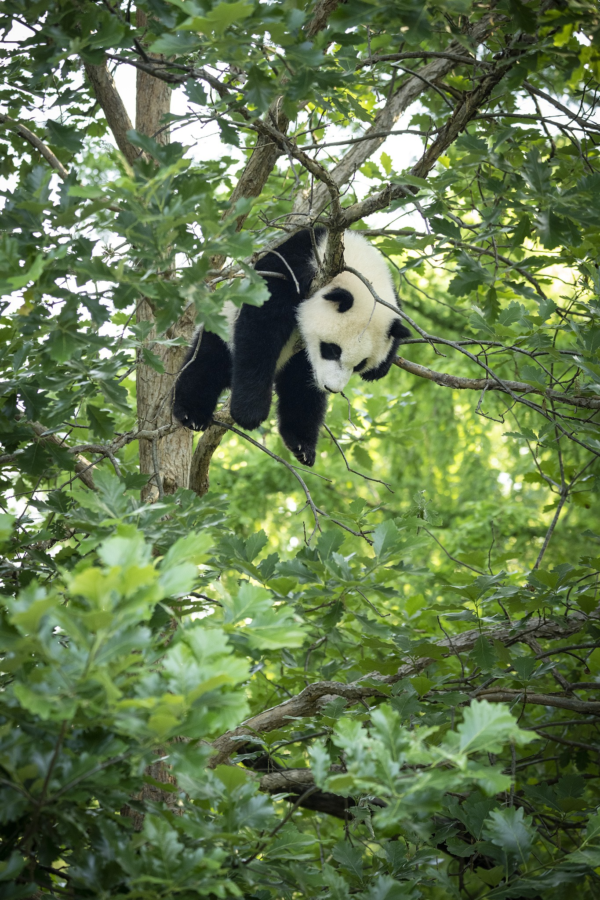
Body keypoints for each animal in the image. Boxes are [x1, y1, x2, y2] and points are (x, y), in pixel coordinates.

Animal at [171, 229, 410, 468]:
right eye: (332, 350)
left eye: (360, 364)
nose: (331, 387)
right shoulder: (289, 265)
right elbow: (261, 326)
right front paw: (249, 413)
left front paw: (380, 368)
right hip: (222, 327)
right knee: (209, 362)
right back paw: (191, 413)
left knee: (300, 390)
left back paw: (301, 444)